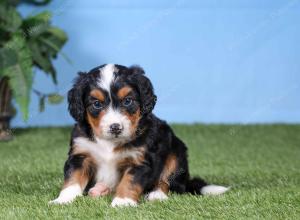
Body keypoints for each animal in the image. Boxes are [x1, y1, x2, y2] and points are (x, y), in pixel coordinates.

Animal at [49, 64, 229, 207]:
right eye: (97, 104)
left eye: (128, 101)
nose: (115, 128)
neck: (109, 142)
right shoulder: (80, 155)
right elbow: (72, 180)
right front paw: (63, 200)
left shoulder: (139, 160)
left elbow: (130, 181)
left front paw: (122, 202)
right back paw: (100, 190)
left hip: (176, 153)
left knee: (169, 181)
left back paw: (157, 195)